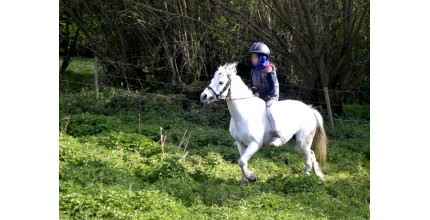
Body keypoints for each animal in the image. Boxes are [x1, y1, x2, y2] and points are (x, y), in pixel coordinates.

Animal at [200, 62, 328, 184]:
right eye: (212, 80)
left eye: (221, 82)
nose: (203, 96)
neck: (243, 114)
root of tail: (309, 109)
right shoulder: (241, 143)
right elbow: (242, 162)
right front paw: (244, 181)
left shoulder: (254, 144)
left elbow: (241, 161)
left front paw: (251, 177)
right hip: (293, 144)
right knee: (311, 154)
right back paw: (318, 176)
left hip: (303, 142)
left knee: (308, 158)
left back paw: (305, 178)